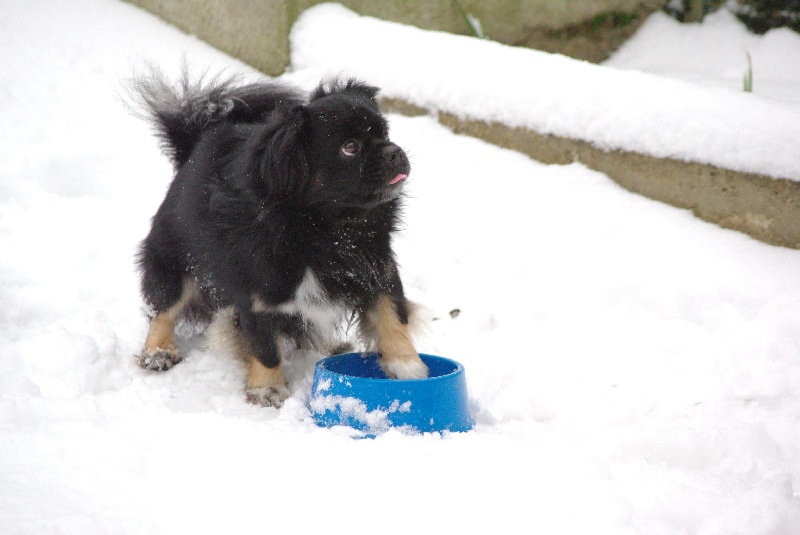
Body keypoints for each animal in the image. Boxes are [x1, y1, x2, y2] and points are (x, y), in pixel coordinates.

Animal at [131, 69, 428, 408]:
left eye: (385, 133)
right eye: (350, 147)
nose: (394, 152)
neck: (332, 229)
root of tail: (190, 151)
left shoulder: (377, 269)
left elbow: (393, 315)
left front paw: (407, 365)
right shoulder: (257, 297)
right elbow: (266, 346)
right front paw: (268, 389)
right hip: (172, 263)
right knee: (163, 310)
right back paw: (159, 352)